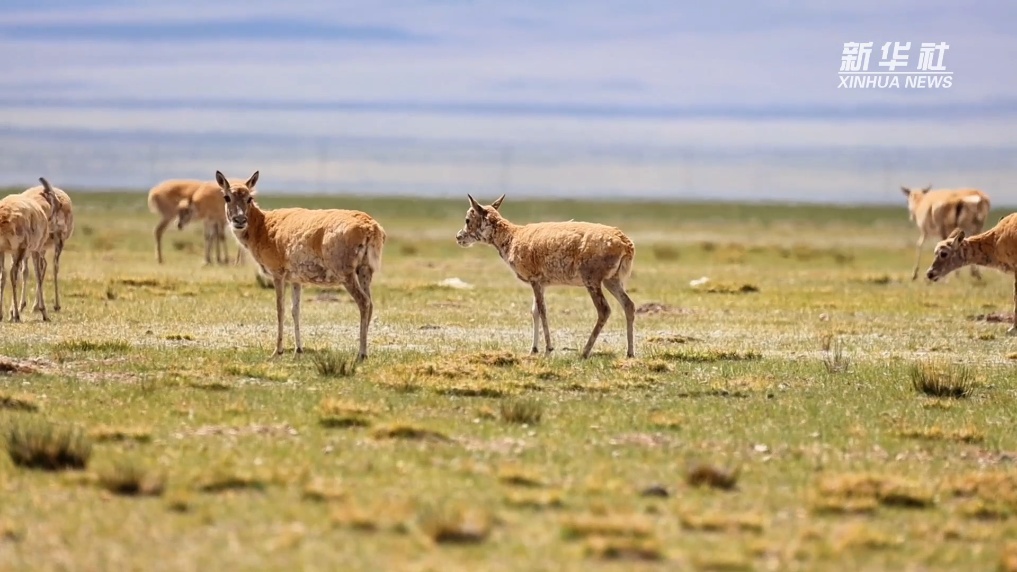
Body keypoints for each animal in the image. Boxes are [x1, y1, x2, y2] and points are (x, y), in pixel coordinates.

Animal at [216, 166, 386, 360]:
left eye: (249, 197)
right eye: (227, 197)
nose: (239, 220)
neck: (263, 227)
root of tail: (371, 227)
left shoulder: (277, 274)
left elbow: (280, 309)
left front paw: (277, 351)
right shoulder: (296, 280)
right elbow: (295, 310)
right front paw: (298, 350)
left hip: (347, 274)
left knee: (363, 302)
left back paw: (361, 354)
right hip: (365, 271)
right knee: (370, 303)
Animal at [455, 194, 630, 356]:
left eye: (467, 219)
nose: (458, 237)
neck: (513, 236)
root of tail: (626, 243)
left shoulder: (535, 280)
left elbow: (542, 310)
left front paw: (548, 348)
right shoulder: (542, 284)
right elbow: (535, 311)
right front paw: (533, 349)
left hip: (592, 282)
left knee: (604, 310)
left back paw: (584, 352)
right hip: (612, 281)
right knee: (629, 305)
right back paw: (630, 352)